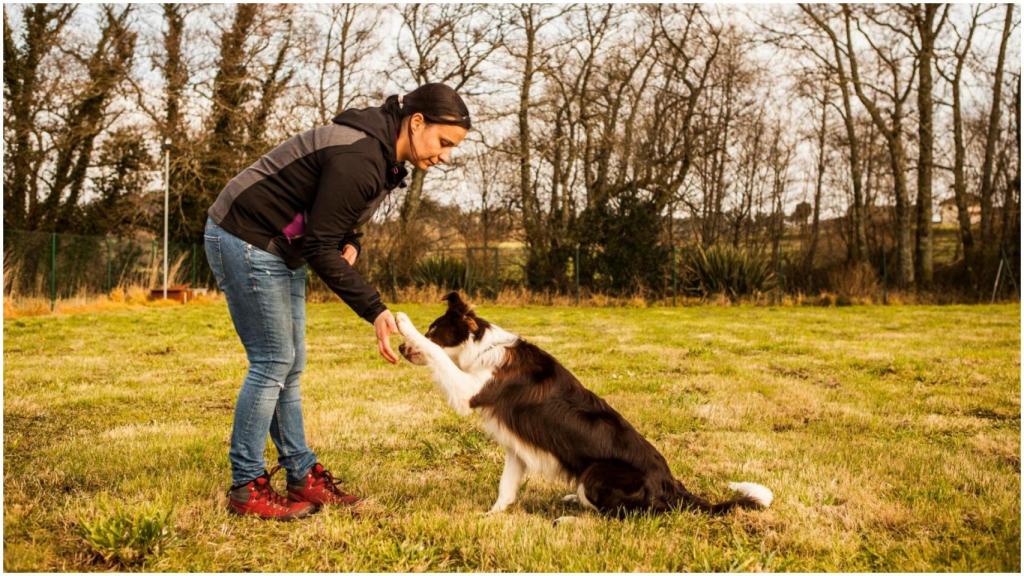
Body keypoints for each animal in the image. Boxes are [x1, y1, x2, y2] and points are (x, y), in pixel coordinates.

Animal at [395, 291, 770, 516]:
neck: (484, 347)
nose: (399, 348)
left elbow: (438, 356)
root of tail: (669, 482)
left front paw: (402, 322)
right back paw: (573, 500)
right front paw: (493, 515)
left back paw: (574, 516)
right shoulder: (516, 449)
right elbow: (506, 486)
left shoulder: (469, 390)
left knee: (620, 515)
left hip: (595, 473)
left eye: (433, 331)